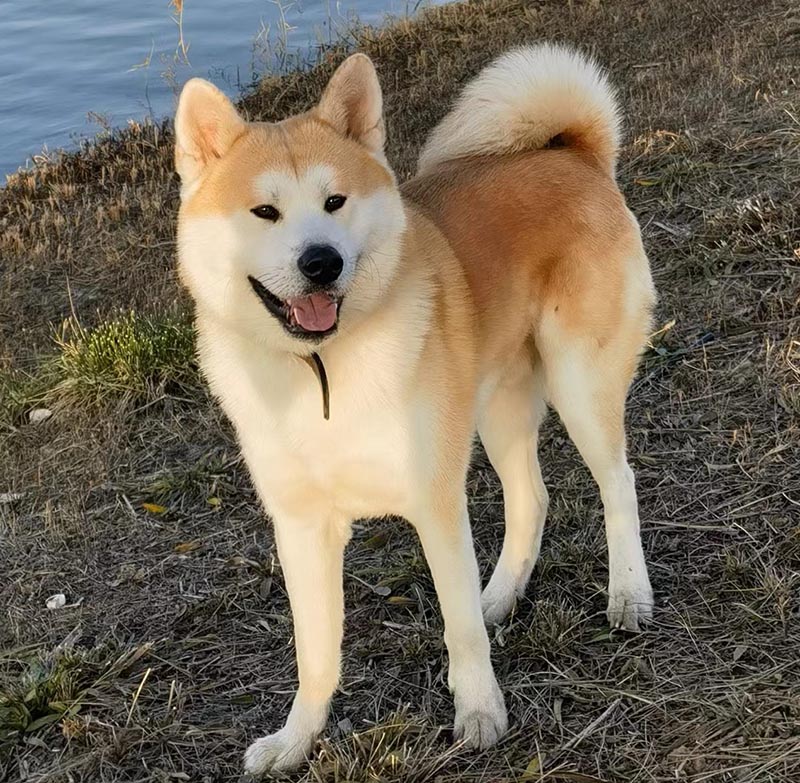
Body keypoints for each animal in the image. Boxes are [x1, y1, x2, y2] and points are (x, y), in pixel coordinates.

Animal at [175, 44, 656, 776]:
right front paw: (296, 739)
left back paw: (628, 592)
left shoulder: (435, 502)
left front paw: (479, 712)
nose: (322, 262)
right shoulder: (301, 528)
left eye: (335, 201)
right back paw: (501, 594)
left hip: (580, 386)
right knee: (532, 497)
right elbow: (315, 653)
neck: (325, 369)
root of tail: (573, 153)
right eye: (263, 212)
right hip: (498, 406)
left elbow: (457, 627)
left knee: (617, 483)